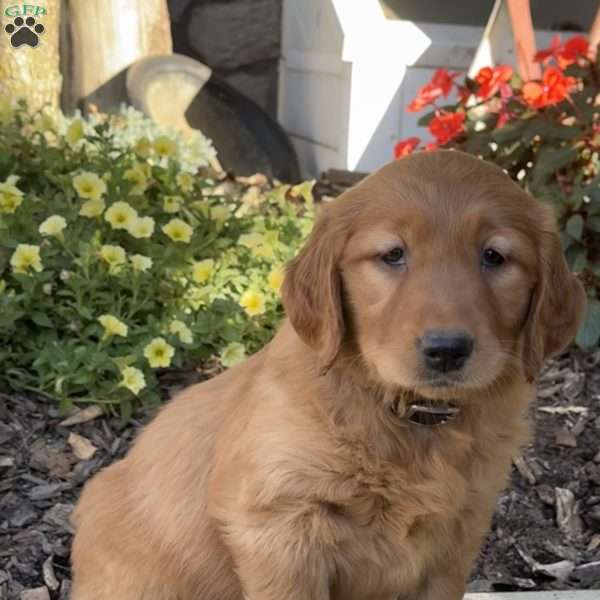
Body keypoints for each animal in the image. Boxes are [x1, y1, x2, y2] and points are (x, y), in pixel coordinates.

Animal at [71, 151, 584, 600]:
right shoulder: (277, 527)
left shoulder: (456, 537)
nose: (446, 350)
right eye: (392, 255)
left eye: (494, 257)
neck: (405, 419)